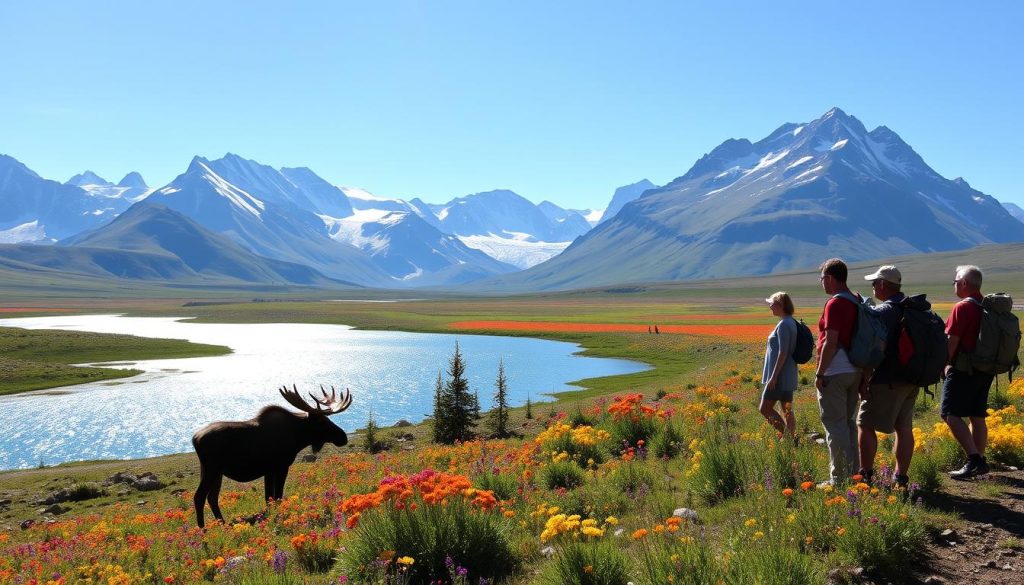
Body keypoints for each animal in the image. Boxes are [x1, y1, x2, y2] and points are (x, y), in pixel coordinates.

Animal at [191, 387, 352, 528]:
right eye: (322, 421)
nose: (343, 437)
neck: (298, 438)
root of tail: (195, 439)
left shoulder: (268, 470)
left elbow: (269, 498)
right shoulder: (281, 466)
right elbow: (278, 496)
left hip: (215, 472)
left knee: (212, 497)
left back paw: (222, 524)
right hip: (211, 469)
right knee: (199, 496)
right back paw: (202, 528)